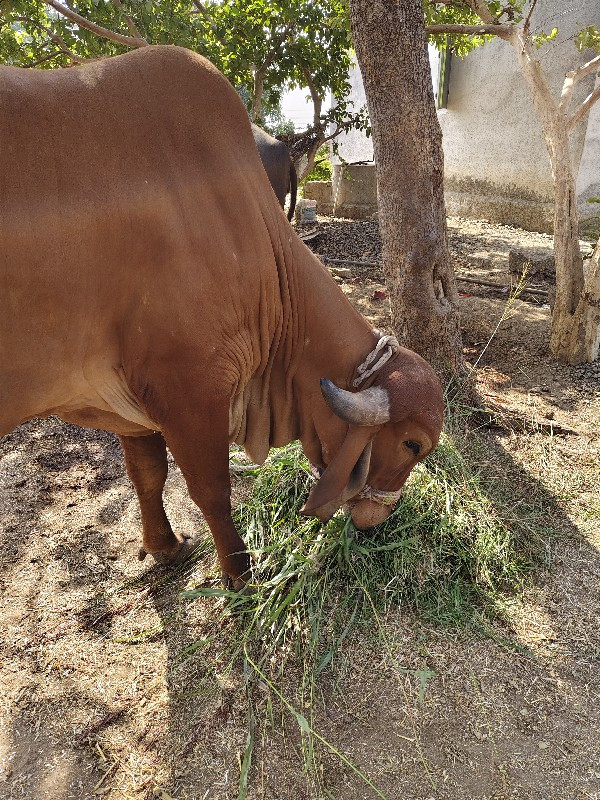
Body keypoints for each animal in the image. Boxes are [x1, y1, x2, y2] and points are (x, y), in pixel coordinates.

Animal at [0, 47, 440, 592]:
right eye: (412, 443)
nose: (381, 518)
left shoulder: (133, 404)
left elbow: (147, 474)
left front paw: (163, 546)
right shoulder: (188, 391)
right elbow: (211, 490)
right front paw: (240, 572)